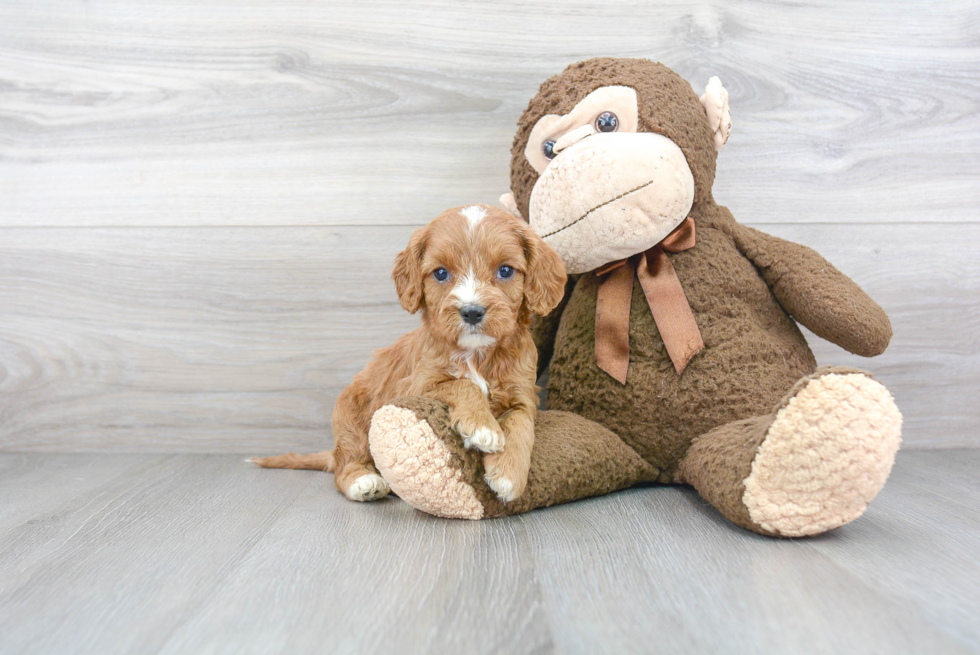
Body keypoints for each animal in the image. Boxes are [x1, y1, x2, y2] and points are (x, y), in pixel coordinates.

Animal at [253, 205, 568, 502]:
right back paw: (363, 482)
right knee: (345, 464)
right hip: (349, 422)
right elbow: (461, 384)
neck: (476, 354)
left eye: (505, 271)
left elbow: (521, 424)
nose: (471, 311)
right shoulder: (417, 385)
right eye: (441, 273)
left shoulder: (523, 392)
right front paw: (483, 428)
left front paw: (509, 475)